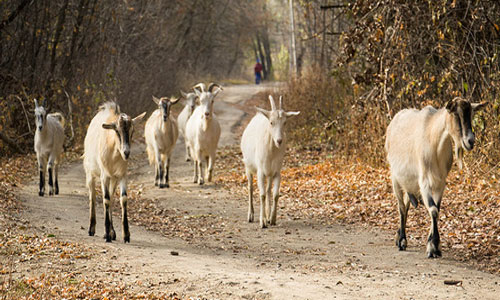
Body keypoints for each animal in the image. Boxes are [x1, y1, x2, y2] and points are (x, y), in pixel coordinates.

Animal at [83, 102, 146, 243]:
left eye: (132, 131)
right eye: (116, 130)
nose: (126, 152)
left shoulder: (122, 175)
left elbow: (122, 198)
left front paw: (125, 235)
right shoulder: (104, 176)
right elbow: (105, 199)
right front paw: (107, 235)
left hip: (113, 179)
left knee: (111, 197)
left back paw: (112, 232)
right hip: (90, 173)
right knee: (92, 196)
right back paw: (91, 229)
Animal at [240, 95, 298, 229]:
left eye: (285, 122)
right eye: (271, 122)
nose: (279, 141)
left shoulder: (276, 172)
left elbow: (275, 194)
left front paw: (272, 219)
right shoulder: (260, 172)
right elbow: (261, 195)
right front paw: (263, 222)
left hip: (269, 173)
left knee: (268, 190)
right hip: (248, 167)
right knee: (250, 188)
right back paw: (251, 215)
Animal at [384, 98, 486, 258]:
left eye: (471, 114)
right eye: (456, 115)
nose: (470, 141)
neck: (434, 141)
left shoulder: (440, 182)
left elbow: (436, 209)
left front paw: (434, 245)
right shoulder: (424, 181)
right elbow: (433, 210)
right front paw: (433, 248)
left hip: (409, 183)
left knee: (406, 204)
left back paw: (398, 236)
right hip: (395, 178)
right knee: (401, 207)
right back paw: (402, 241)